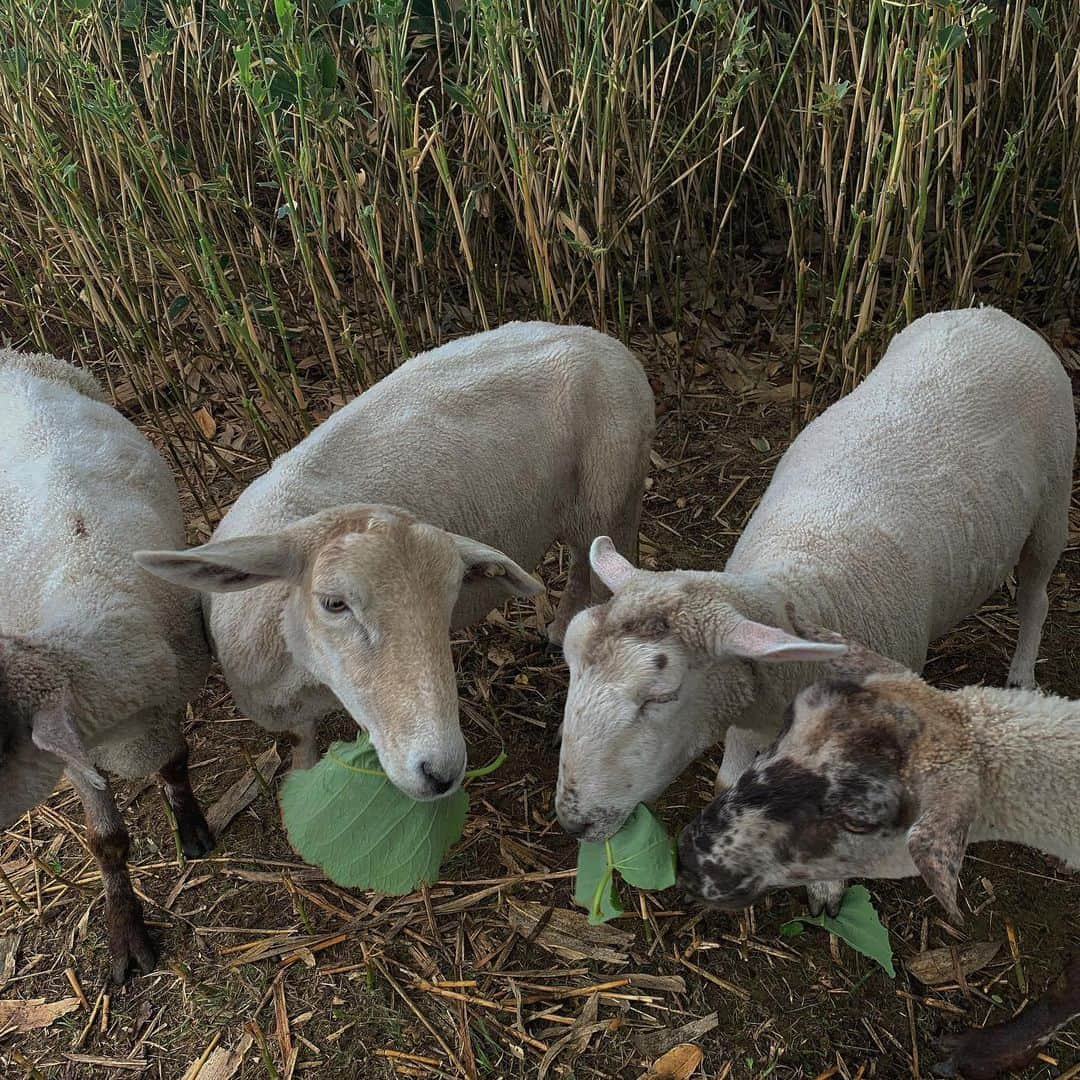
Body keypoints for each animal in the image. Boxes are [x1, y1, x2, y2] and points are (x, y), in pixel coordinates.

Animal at [0, 349, 214, 984]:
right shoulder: (71, 757)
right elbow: (106, 842)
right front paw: (125, 933)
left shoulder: (169, 700)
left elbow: (175, 764)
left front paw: (190, 827)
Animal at [138, 319, 652, 803]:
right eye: (333, 603)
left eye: (449, 599)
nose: (440, 771)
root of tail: (602, 341)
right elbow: (302, 742)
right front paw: (301, 778)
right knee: (581, 563)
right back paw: (559, 628)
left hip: (612, 494)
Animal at [552, 308, 1075, 915]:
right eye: (570, 663)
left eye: (660, 696)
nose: (572, 822)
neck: (802, 581)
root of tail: (991, 314)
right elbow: (731, 777)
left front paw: (828, 887)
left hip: (1053, 503)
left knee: (1035, 595)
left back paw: (1022, 673)